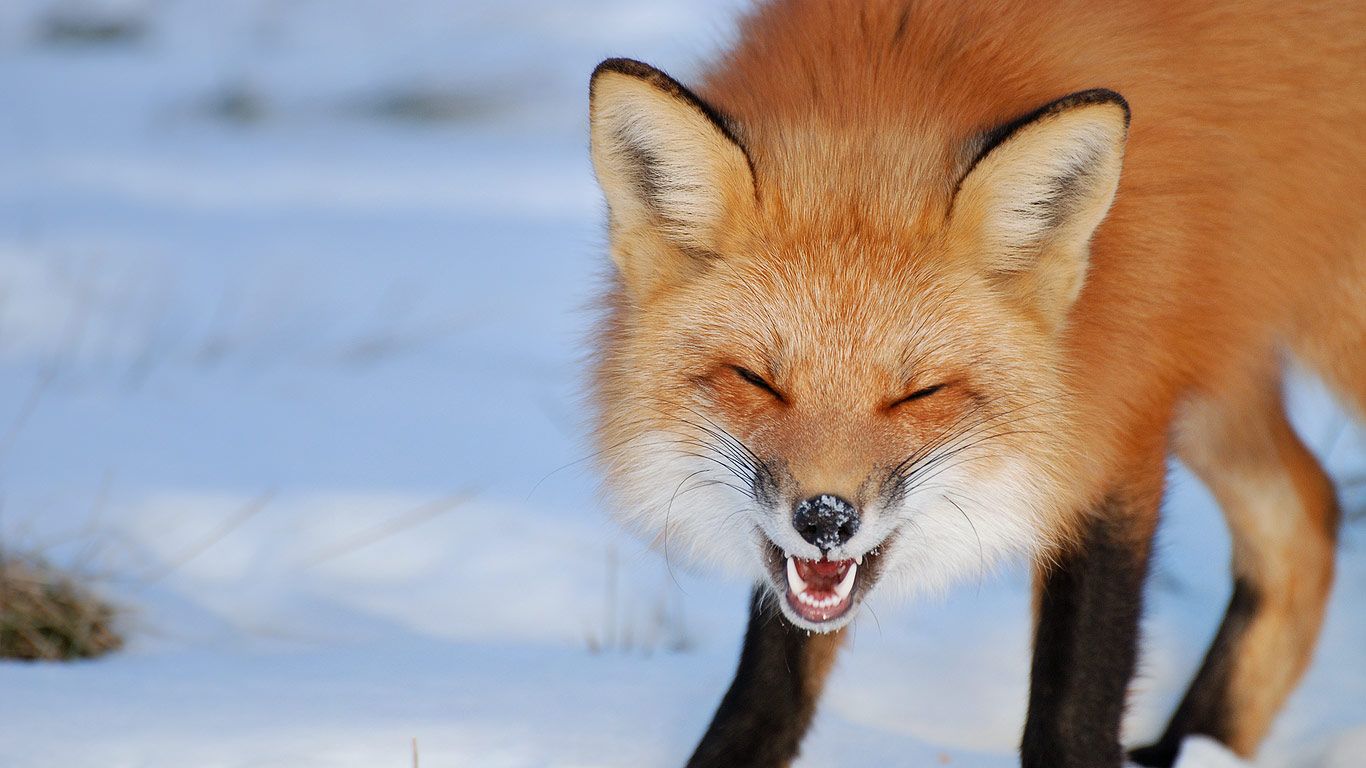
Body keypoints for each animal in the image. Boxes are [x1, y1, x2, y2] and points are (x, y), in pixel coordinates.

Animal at [586, 0, 1365, 765]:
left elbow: (1073, 710)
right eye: (757, 380)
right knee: (1307, 517)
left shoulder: (1113, 424)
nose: (826, 520)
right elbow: (769, 691)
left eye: (919, 393)